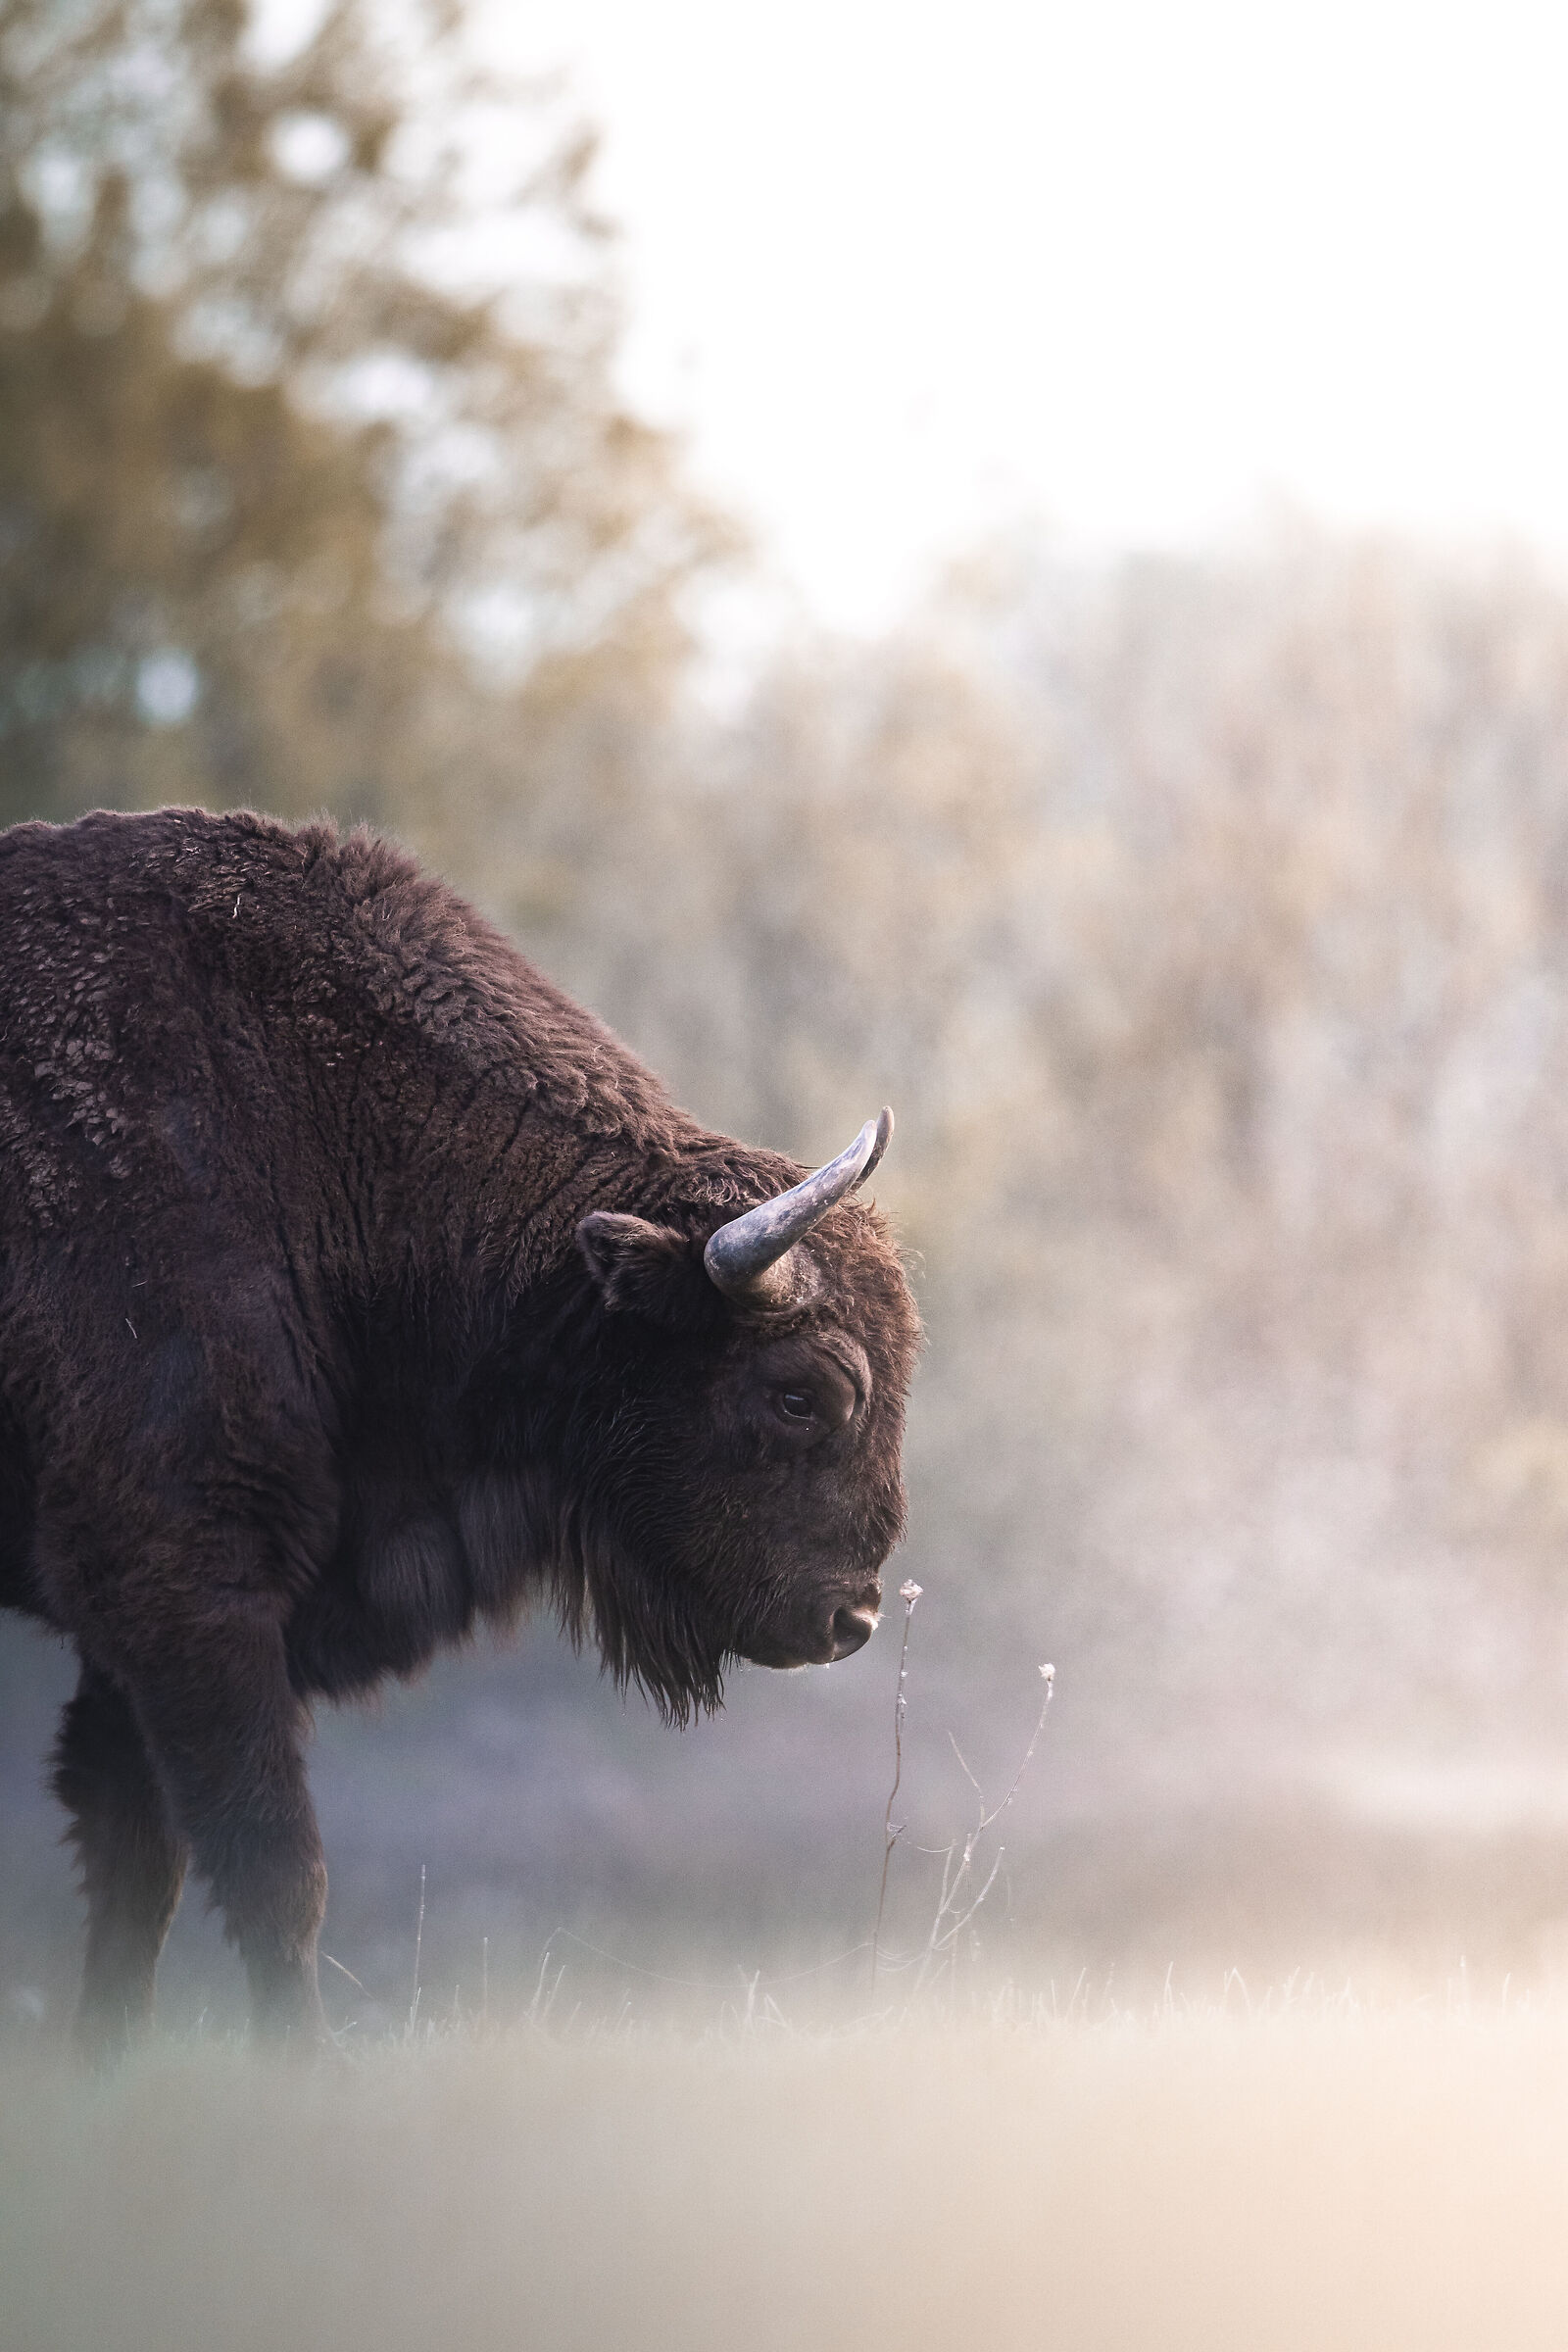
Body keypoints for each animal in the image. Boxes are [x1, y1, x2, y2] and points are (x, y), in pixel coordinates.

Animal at [0, 807, 919, 2051]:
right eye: (798, 1394)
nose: (851, 1618)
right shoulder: (186, 1595)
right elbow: (270, 1864)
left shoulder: (137, 1642)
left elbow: (137, 1864)